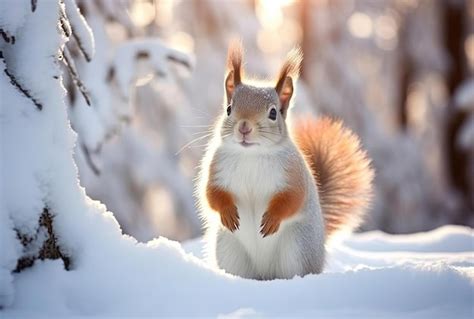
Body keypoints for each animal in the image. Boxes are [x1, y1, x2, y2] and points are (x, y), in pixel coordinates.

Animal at [196, 42, 374, 280]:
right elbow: (212, 194)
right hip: (229, 249)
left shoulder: (293, 174)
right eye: (229, 109)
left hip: (297, 248)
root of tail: (265, 273)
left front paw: (272, 219)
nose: (244, 127)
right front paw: (228, 212)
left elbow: (292, 197)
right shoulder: (216, 169)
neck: (251, 155)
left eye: (273, 113)